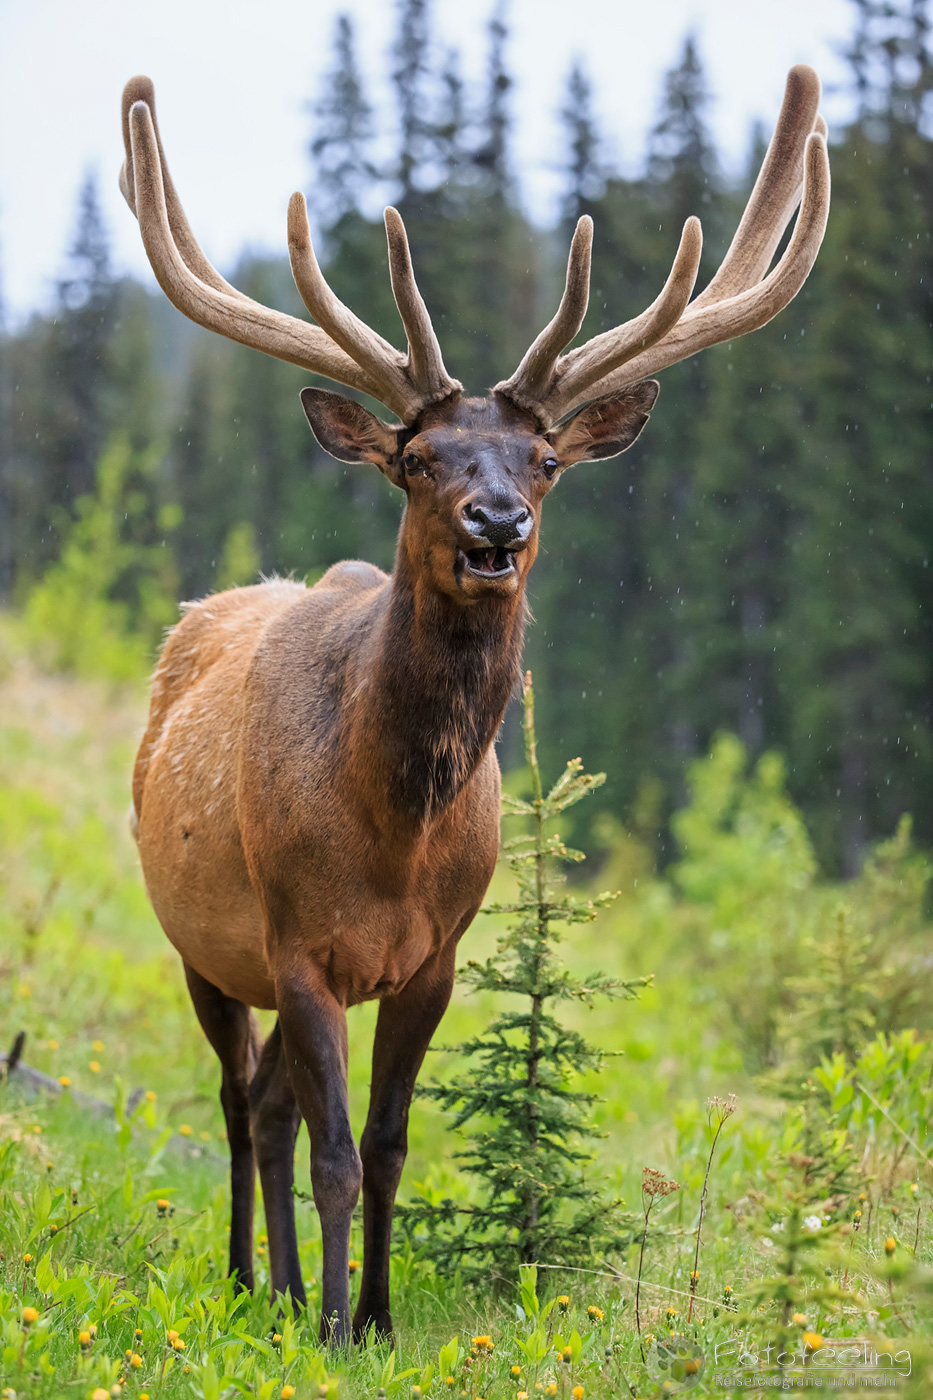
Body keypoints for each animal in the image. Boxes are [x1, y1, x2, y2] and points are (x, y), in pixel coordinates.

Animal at [120, 66, 829, 1342]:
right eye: (419, 457)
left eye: (543, 461)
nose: (496, 521)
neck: (389, 832)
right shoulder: (299, 945)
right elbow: (340, 1151)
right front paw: (339, 1328)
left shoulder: (434, 957)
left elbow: (392, 1142)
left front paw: (375, 1316)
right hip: (203, 939)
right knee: (238, 1097)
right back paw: (253, 1279)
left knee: (267, 1103)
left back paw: (285, 1288)